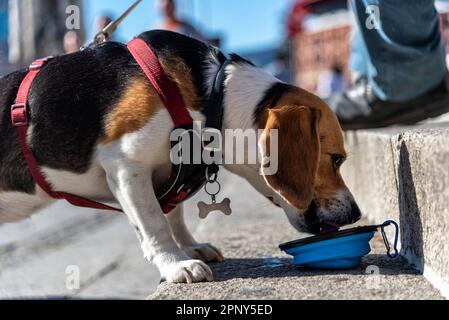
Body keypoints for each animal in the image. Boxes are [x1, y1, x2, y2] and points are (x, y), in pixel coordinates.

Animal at [0, 31, 358, 284]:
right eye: (336, 159)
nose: (356, 213)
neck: (215, 97)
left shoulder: (171, 172)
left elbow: (173, 214)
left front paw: (188, 246)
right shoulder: (126, 167)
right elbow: (156, 223)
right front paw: (176, 264)